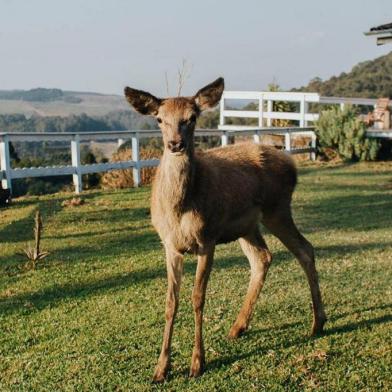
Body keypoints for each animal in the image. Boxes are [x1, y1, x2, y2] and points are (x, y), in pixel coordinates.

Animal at [124, 78, 326, 382]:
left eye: (192, 117)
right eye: (159, 119)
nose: (175, 144)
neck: (179, 209)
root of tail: (292, 163)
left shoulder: (207, 239)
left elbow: (198, 298)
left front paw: (197, 363)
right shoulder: (170, 245)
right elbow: (171, 302)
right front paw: (161, 368)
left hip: (277, 209)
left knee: (305, 249)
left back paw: (317, 323)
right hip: (248, 226)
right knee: (263, 257)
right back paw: (238, 327)